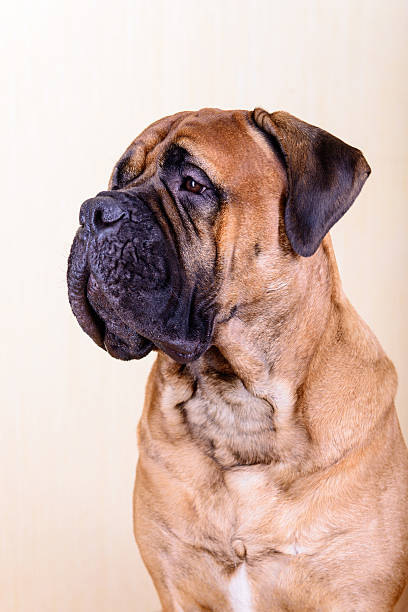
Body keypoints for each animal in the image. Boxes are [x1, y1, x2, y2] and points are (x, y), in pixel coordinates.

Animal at [67, 107, 408, 608]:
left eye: (193, 183)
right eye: (119, 178)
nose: (93, 211)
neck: (234, 396)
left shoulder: (356, 593)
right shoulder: (175, 585)